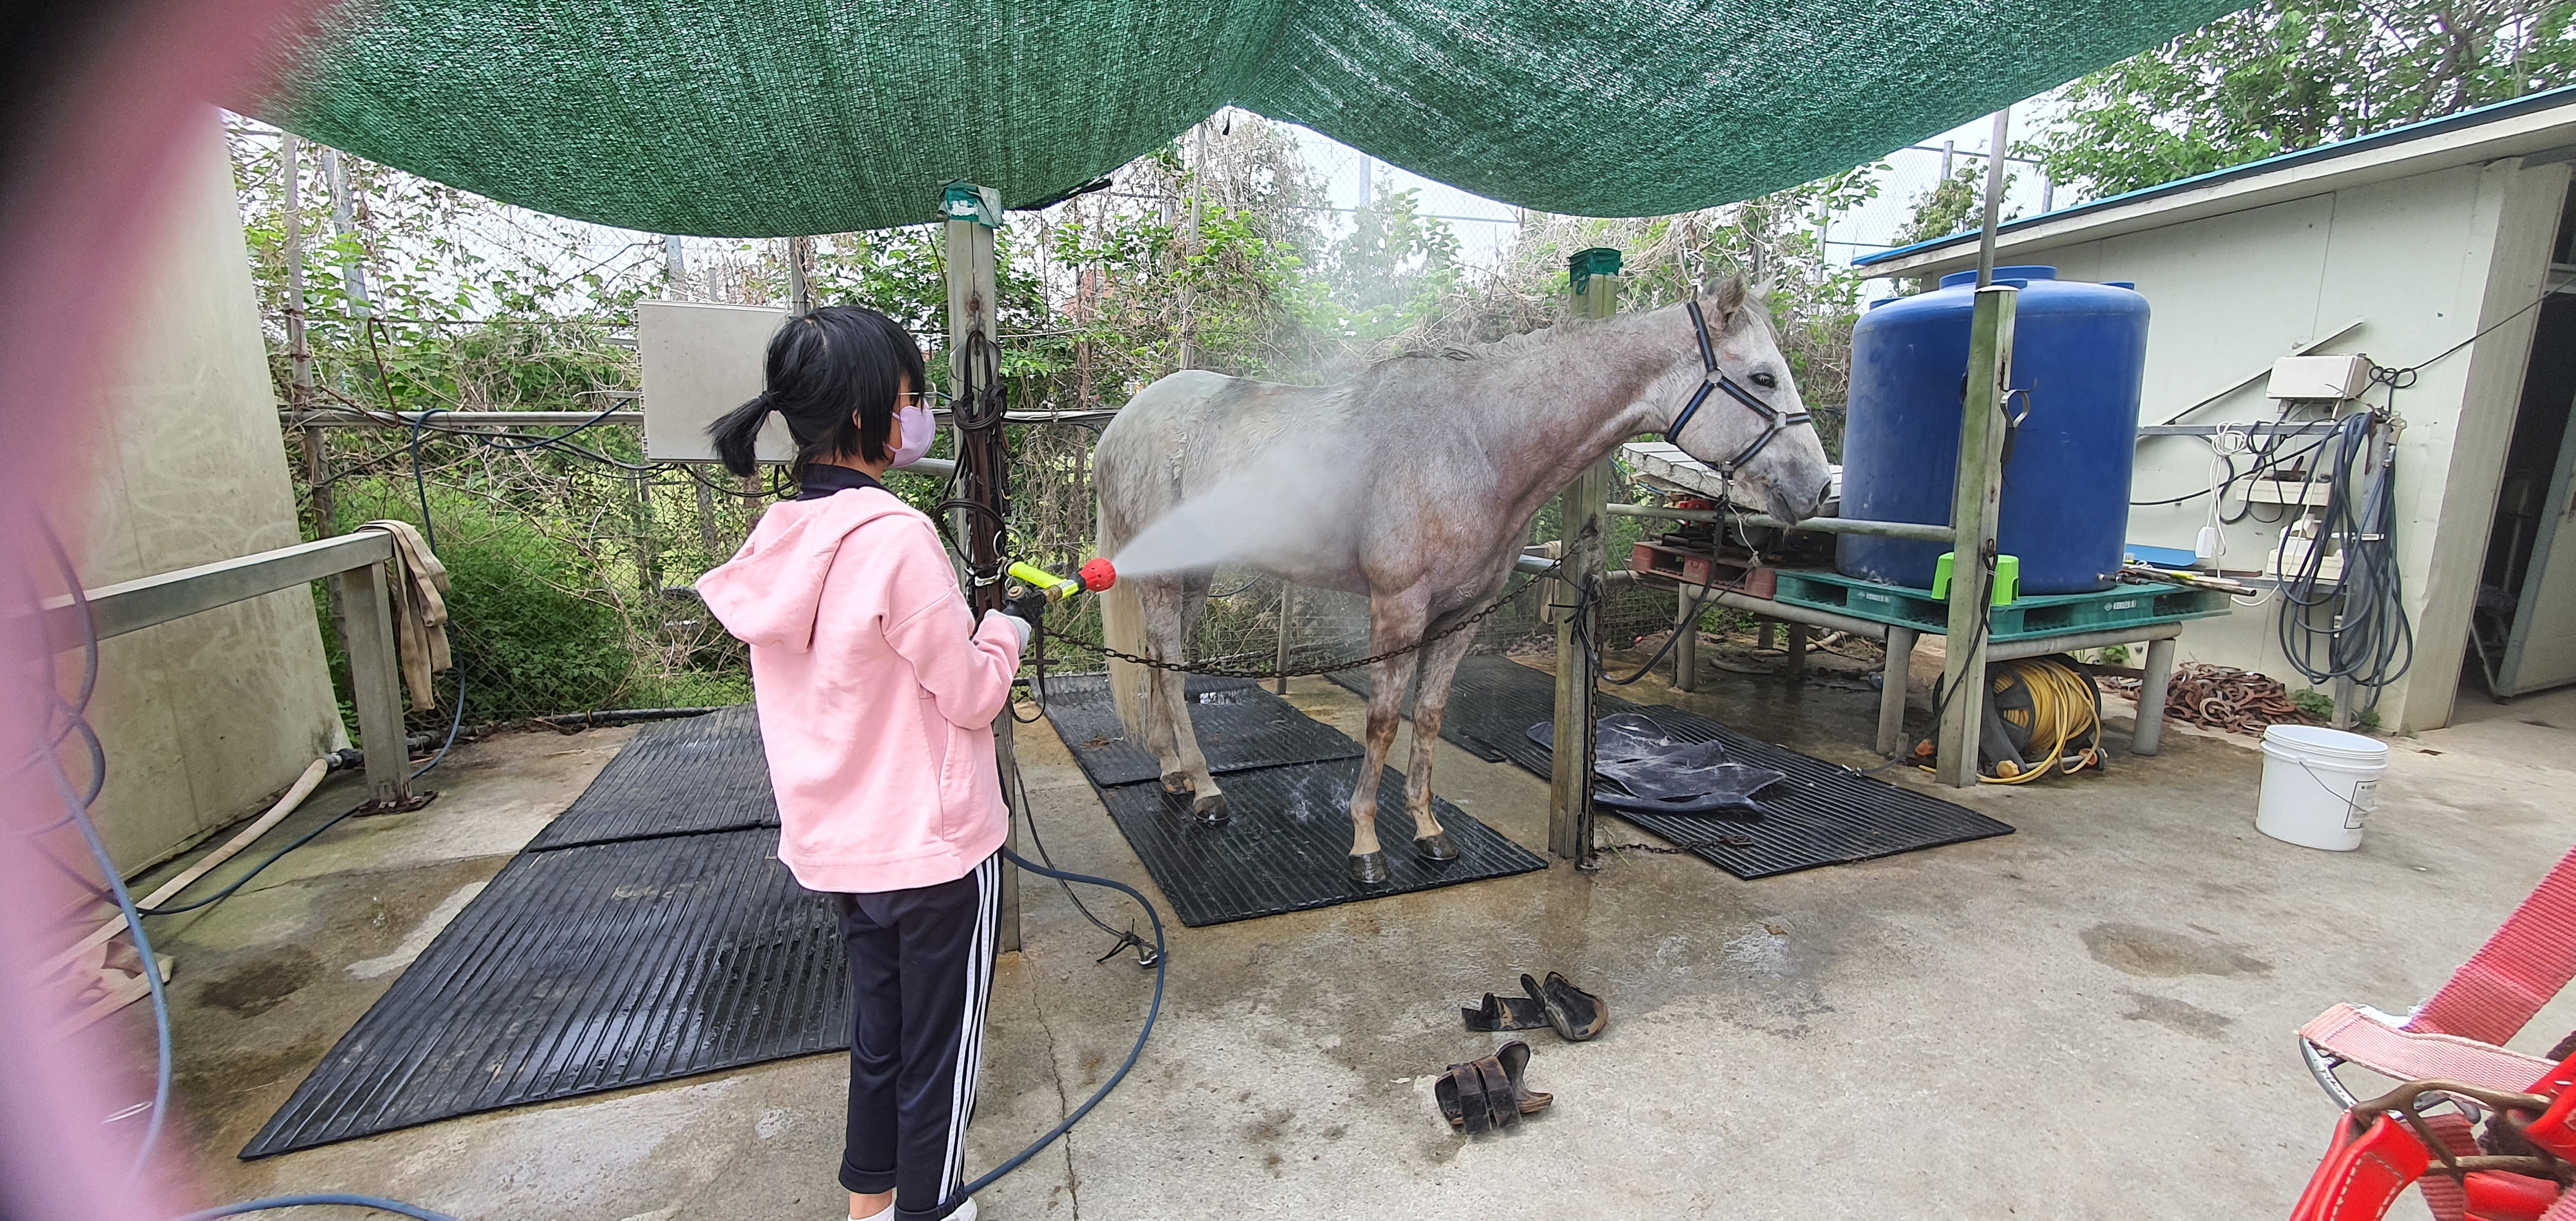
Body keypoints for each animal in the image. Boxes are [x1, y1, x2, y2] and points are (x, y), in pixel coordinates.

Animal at [1087, 281, 1834, 881]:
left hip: (1193, 572)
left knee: (1159, 660)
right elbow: (1383, 721)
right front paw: (1366, 847)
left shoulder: (1461, 616)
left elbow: (1429, 718)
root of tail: (1123, 423)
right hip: (1166, 576)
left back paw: (1173, 772)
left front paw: (1428, 833)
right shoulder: (1398, 610)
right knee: (1172, 670)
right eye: (1764, 379)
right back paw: (1206, 789)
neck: (1475, 444)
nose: (1816, 488)